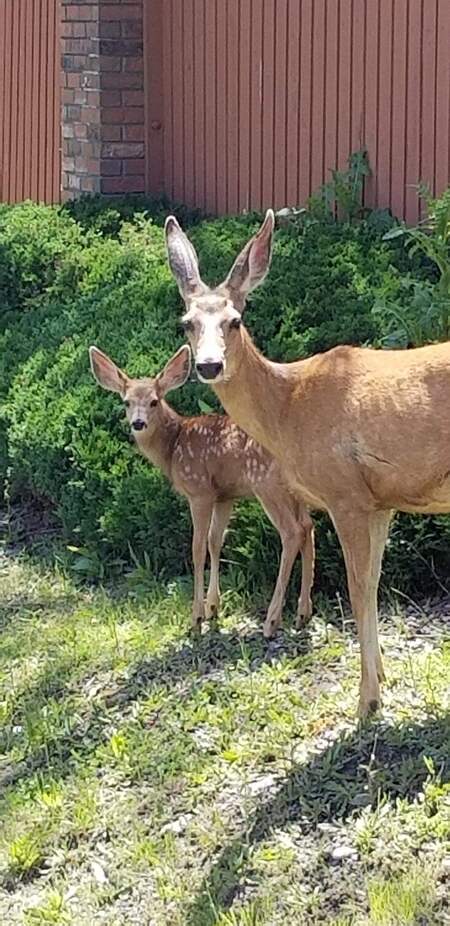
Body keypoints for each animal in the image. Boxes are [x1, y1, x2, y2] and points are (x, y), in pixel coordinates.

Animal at [88, 344, 312, 636]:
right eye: (126, 402)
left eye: (154, 401)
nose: (138, 423)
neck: (173, 446)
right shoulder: (225, 495)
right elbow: (215, 541)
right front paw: (213, 607)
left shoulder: (199, 491)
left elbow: (197, 548)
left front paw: (196, 617)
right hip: (295, 490)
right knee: (308, 527)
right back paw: (303, 613)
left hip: (266, 484)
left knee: (292, 532)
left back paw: (272, 620)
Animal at [163, 212, 450, 724]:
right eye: (187, 322)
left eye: (235, 320)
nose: (210, 365)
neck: (289, 404)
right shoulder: (381, 502)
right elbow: (373, 583)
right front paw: (382, 679)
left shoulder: (346, 495)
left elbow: (357, 590)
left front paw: (367, 701)